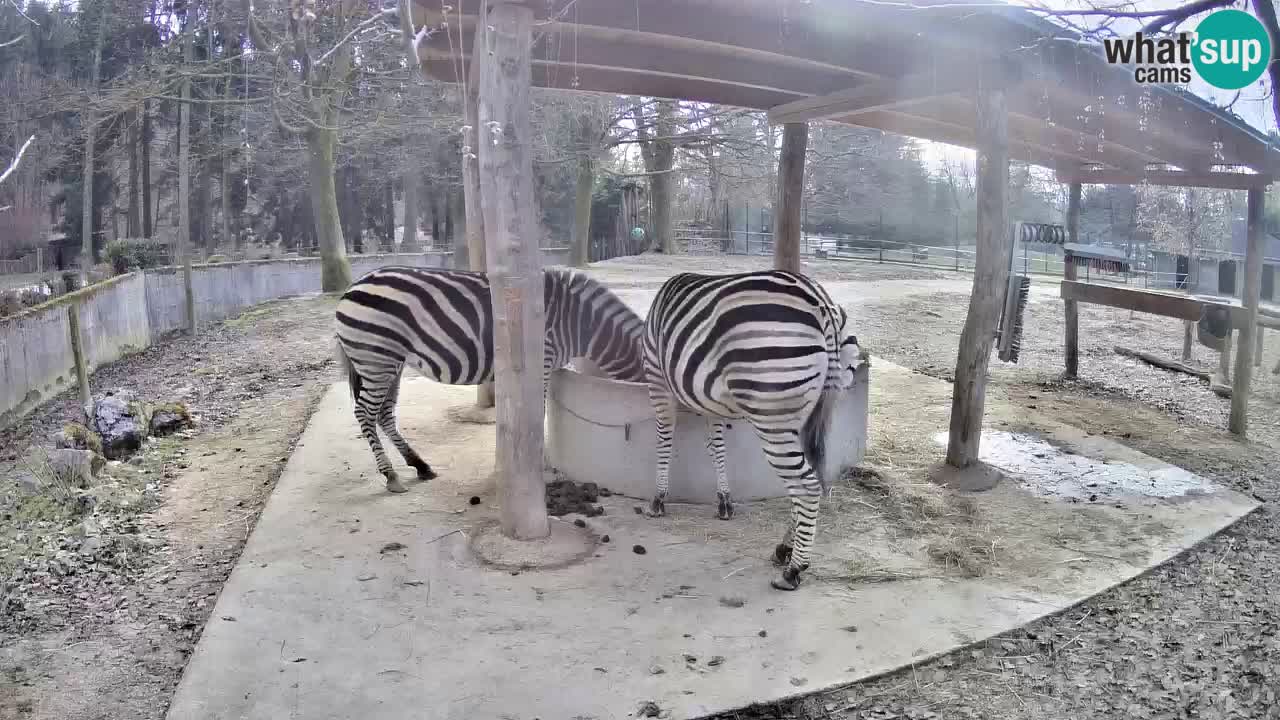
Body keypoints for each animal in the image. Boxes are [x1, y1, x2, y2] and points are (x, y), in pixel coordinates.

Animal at [335, 263, 645, 491]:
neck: (579, 324)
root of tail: (355, 284)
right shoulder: (541, 360)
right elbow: (538, 411)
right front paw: (541, 465)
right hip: (376, 359)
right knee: (365, 412)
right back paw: (390, 475)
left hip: (391, 363)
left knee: (384, 413)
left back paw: (420, 465)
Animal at [645, 269, 865, 589]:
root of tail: (820, 300)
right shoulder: (710, 400)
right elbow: (717, 445)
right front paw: (724, 501)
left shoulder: (656, 377)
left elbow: (664, 438)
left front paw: (658, 499)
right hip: (817, 404)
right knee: (812, 475)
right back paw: (785, 548)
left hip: (772, 415)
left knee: (806, 485)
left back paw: (794, 569)